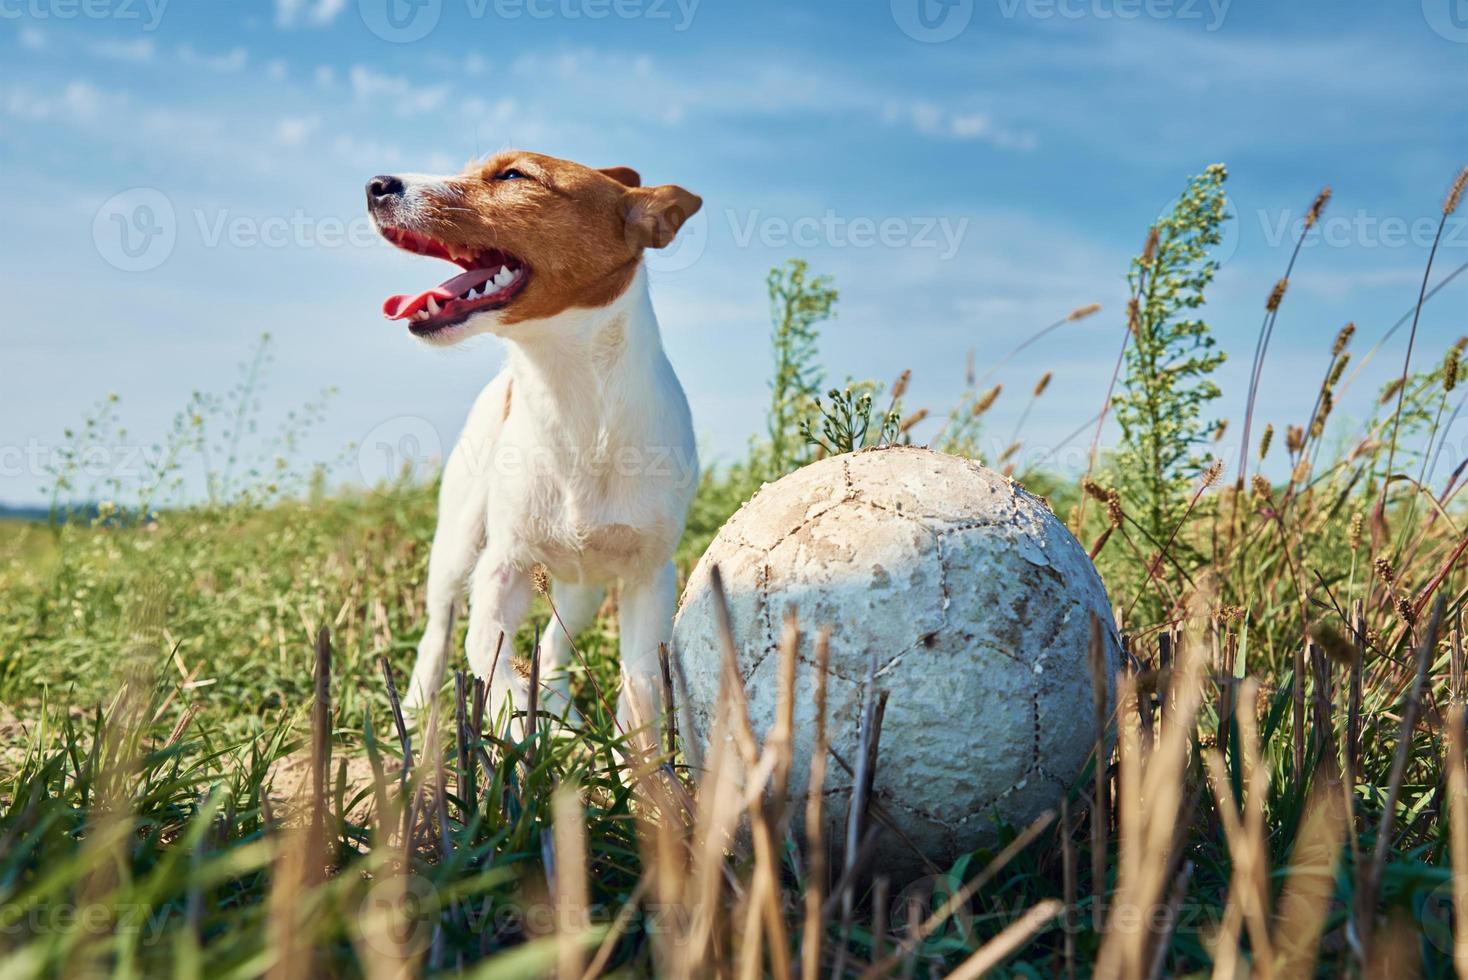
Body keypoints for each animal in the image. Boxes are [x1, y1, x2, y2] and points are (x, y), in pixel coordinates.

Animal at [372, 149, 704, 739]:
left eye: (513, 175)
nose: (375, 185)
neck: (571, 404)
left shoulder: (648, 578)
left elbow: (642, 687)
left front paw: (631, 759)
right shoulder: (501, 565)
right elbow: (486, 650)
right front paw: (516, 722)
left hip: (583, 583)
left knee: (553, 644)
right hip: (457, 542)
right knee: (438, 631)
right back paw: (412, 711)